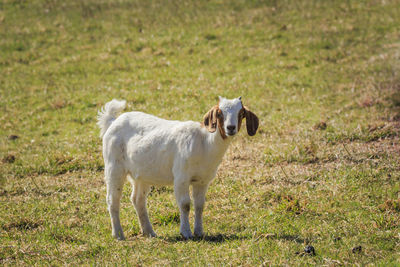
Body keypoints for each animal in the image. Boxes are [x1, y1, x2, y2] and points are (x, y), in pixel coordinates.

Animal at [97, 97, 260, 241]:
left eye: (241, 113)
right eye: (220, 113)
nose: (230, 128)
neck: (205, 143)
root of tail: (113, 122)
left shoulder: (203, 180)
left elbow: (200, 205)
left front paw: (199, 232)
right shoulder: (181, 177)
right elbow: (185, 204)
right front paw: (186, 233)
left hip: (142, 174)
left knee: (138, 199)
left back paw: (149, 232)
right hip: (114, 166)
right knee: (112, 200)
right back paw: (118, 235)